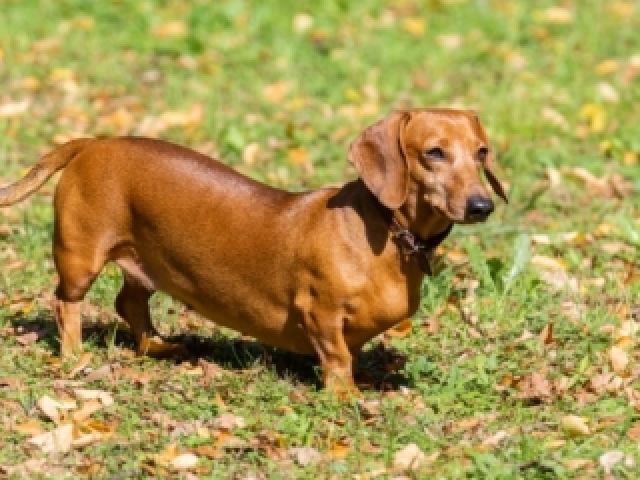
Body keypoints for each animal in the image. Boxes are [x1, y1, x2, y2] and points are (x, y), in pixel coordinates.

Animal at [0, 109, 504, 394]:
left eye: (481, 152)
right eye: (434, 152)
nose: (483, 206)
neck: (385, 230)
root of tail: (92, 143)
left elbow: (352, 352)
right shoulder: (319, 312)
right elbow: (338, 356)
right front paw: (345, 396)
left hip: (144, 264)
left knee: (130, 303)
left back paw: (159, 345)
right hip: (80, 258)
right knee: (65, 303)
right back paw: (73, 357)